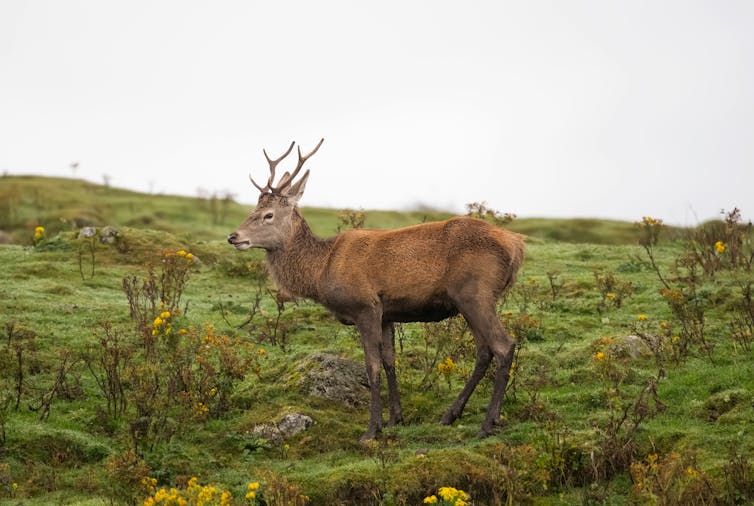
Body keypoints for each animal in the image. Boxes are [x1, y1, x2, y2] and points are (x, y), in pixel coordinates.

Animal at [227, 139, 525, 441]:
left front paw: (372, 430)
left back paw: (487, 424)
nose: (233, 236)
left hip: (476, 293)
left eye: (268, 215)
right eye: (252, 211)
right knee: (484, 351)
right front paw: (395, 419)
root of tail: (516, 246)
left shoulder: (365, 305)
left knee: (504, 345)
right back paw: (450, 415)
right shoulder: (387, 313)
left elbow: (371, 366)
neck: (321, 270)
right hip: (468, 301)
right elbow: (389, 361)